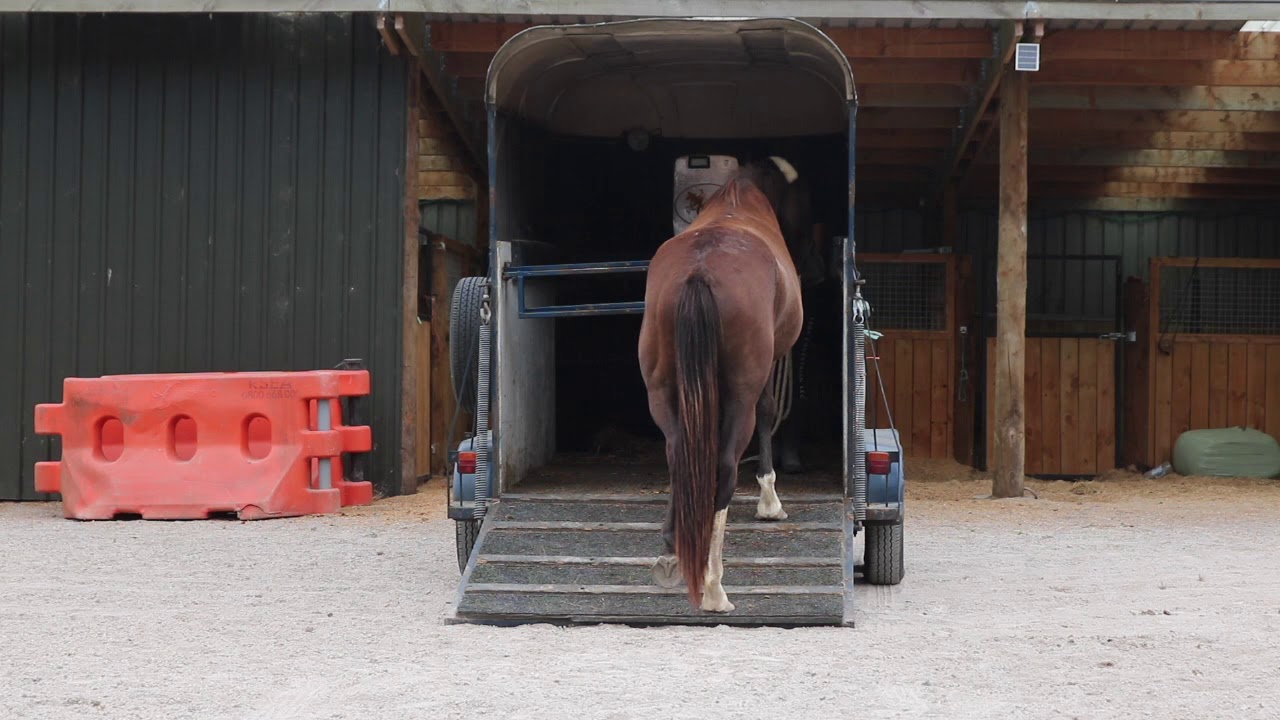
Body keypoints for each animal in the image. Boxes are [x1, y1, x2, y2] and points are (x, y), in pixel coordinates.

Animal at [638, 156, 804, 612]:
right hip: (739, 395)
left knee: (678, 455)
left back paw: (672, 553)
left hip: (662, 392)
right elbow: (768, 411)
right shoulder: (769, 366)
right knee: (726, 467)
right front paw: (769, 502)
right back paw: (713, 587)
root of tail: (700, 270)